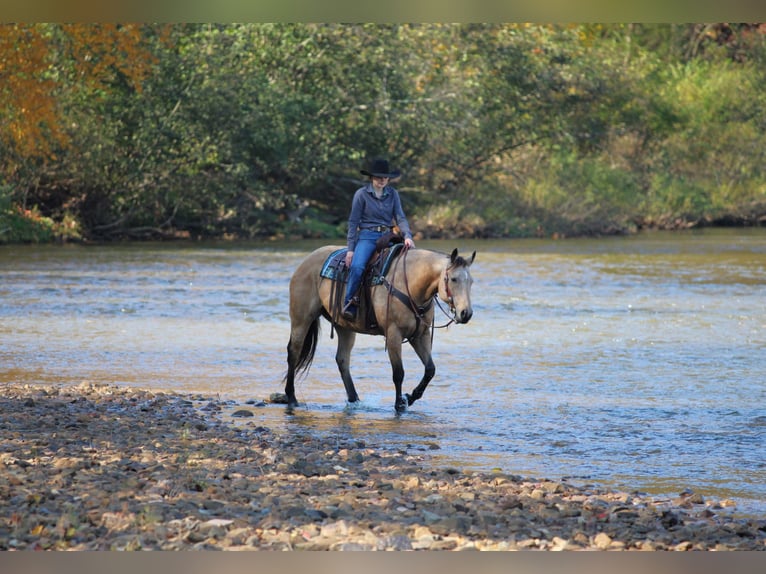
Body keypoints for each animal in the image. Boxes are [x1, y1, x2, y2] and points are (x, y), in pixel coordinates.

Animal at [283, 245, 476, 413]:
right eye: (453, 279)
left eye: (471, 281)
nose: (465, 313)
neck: (410, 284)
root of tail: (307, 260)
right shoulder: (393, 334)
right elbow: (398, 373)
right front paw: (399, 404)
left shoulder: (420, 335)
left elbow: (430, 370)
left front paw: (410, 397)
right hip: (301, 319)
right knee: (294, 352)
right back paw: (291, 397)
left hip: (344, 326)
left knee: (342, 359)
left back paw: (355, 400)